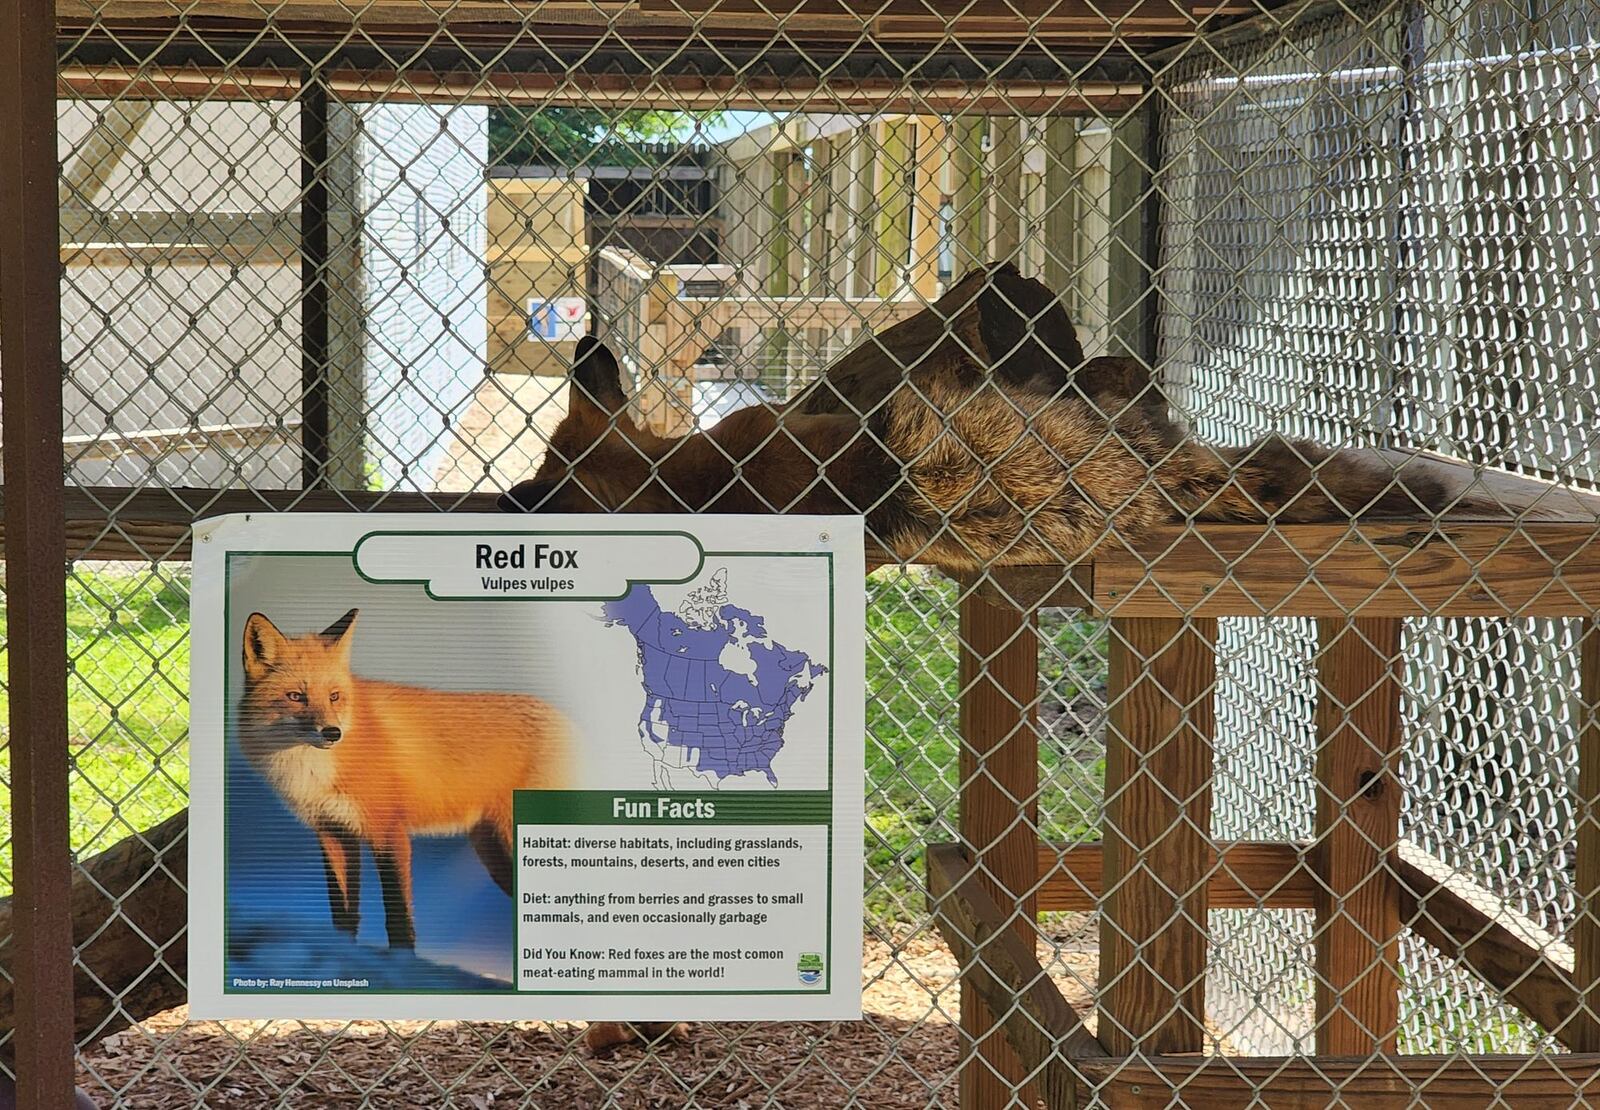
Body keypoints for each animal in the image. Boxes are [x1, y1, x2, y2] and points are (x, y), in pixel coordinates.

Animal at [232, 614, 569, 953]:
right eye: (295, 697)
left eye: (334, 696)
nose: (332, 733)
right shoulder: (333, 832)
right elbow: (343, 914)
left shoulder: (389, 830)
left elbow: (398, 919)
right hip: (495, 855)